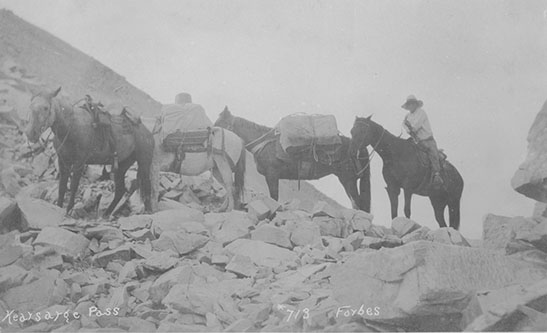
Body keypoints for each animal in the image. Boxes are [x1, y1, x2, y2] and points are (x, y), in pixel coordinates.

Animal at [24, 87, 154, 215]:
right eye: (30, 106)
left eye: (46, 108)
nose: (31, 133)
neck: (71, 127)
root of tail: (147, 132)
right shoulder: (63, 161)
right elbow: (62, 186)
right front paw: (59, 207)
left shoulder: (79, 163)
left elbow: (74, 185)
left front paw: (68, 210)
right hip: (122, 166)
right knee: (120, 191)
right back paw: (106, 214)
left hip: (144, 163)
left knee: (147, 186)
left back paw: (148, 212)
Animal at [214, 107, 372, 210]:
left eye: (220, 123)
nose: (211, 131)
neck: (264, 144)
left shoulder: (272, 176)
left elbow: (274, 197)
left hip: (348, 179)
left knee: (357, 205)